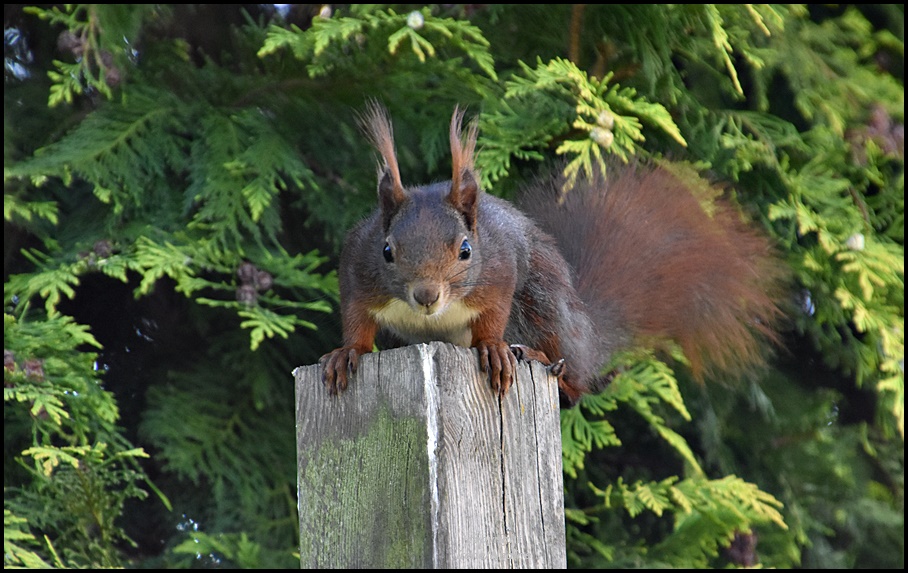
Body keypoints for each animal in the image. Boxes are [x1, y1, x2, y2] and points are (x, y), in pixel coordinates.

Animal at [318, 105, 780, 404]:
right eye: (387, 251)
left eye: (466, 250)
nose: (426, 295)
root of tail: (588, 333)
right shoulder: (357, 270)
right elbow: (356, 319)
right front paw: (347, 353)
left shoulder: (500, 271)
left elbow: (493, 315)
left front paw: (493, 348)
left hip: (546, 305)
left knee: (577, 377)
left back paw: (545, 364)